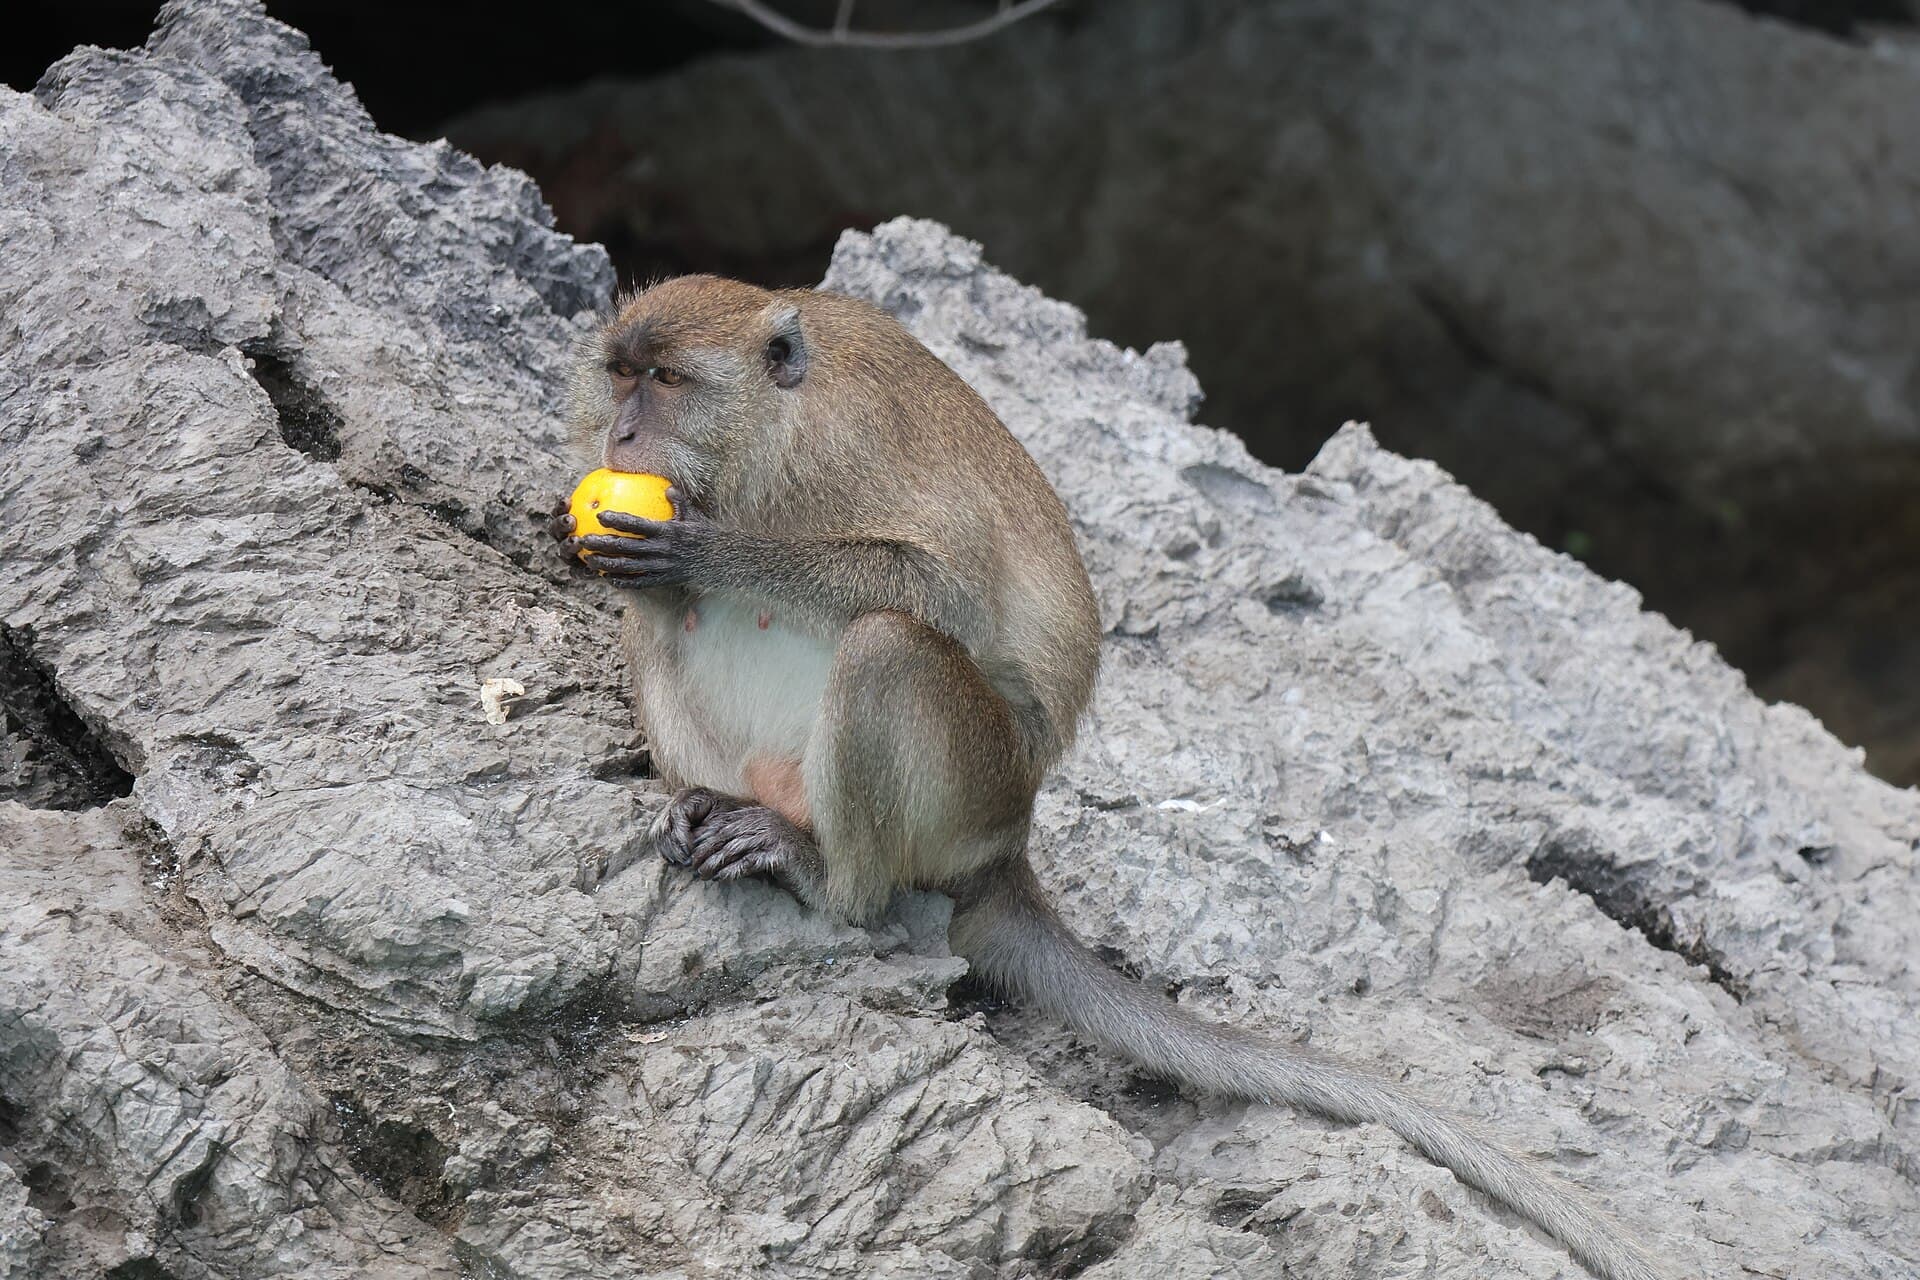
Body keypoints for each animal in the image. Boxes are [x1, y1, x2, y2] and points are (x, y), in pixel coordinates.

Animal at [547, 274, 1668, 1280]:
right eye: (622, 377)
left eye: (668, 380)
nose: (623, 439)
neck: (766, 440)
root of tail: (1007, 847)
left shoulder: (843, 446)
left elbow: (933, 589)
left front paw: (713, 548)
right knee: (653, 616)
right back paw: (704, 800)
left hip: (974, 789)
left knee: (886, 648)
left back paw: (826, 875)